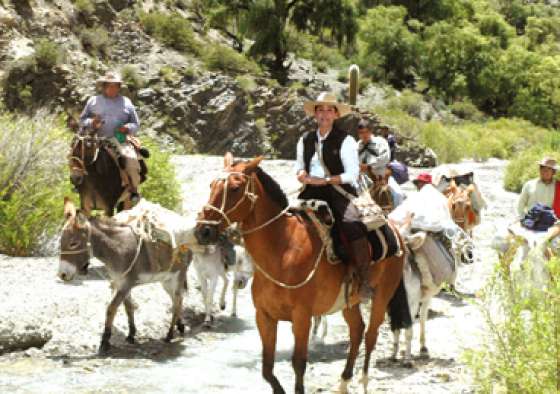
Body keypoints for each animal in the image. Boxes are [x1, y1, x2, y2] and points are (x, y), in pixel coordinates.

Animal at [195, 153, 404, 394]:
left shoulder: (302, 317)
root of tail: (395, 229)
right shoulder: (264, 317)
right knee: (357, 330)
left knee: (371, 335)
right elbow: (267, 368)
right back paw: (344, 382)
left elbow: (299, 363)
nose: (203, 231)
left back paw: (364, 381)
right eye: (211, 185)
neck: (283, 249)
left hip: (383, 295)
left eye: (235, 188)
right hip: (348, 301)